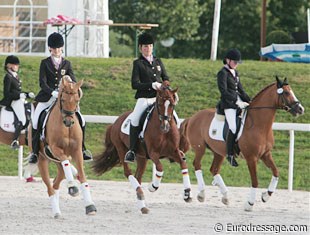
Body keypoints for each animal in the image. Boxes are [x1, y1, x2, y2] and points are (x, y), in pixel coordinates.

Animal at [37, 76, 96, 218]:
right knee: (50, 187)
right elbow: (66, 161)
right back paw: (56, 212)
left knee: (56, 182)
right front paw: (72, 187)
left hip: (56, 162)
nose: (68, 122)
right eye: (63, 99)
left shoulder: (77, 151)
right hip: (42, 159)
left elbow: (82, 176)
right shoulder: (55, 148)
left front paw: (90, 206)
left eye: (77, 100)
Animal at [92, 81, 193, 214]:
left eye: (172, 104)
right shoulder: (153, 153)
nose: (165, 127)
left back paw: (142, 204)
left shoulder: (174, 152)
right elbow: (160, 168)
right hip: (122, 150)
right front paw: (153, 186)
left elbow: (183, 164)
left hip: (142, 157)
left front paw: (187, 194)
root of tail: (115, 122)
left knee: (137, 177)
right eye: (159, 104)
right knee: (128, 172)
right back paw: (141, 196)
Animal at [180, 77, 304, 211]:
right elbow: (255, 181)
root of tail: (192, 118)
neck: (259, 125)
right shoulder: (251, 158)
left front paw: (266, 196)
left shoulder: (266, 154)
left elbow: (276, 172)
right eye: (286, 93)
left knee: (214, 169)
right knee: (197, 165)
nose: (301, 109)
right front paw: (249, 204)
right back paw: (201, 194)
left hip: (219, 152)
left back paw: (226, 197)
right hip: (200, 148)